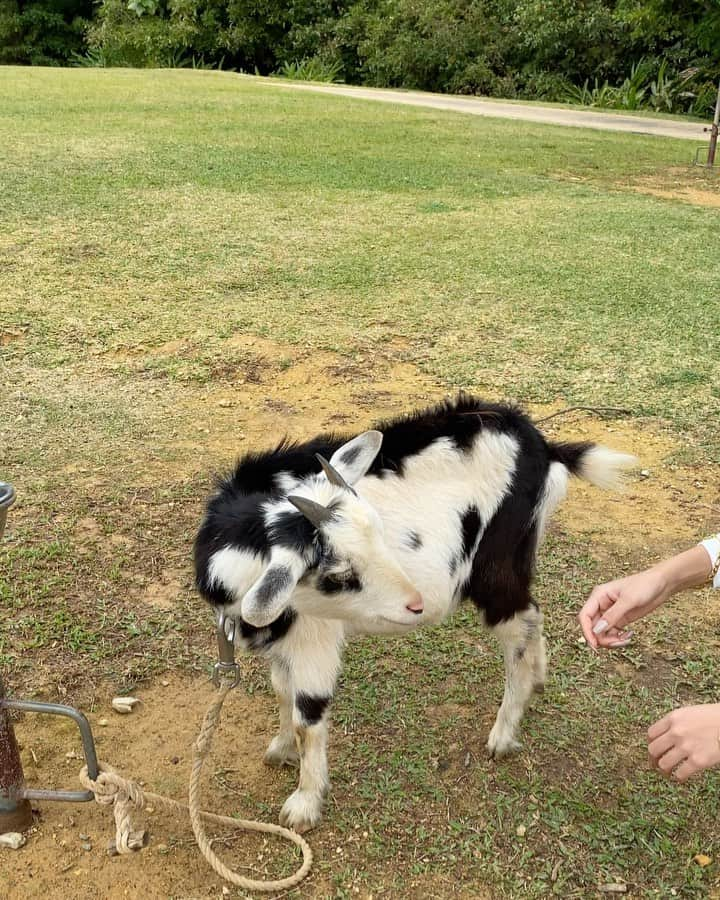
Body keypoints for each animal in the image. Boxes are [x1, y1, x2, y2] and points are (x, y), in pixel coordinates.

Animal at [193, 398, 636, 832]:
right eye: (340, 574)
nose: (416, 604)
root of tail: (540, 443)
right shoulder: (284, 639)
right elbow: (281, 690)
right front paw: (282, 748)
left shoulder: (314, 639)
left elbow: (308, 715)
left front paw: (304, 804)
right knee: (534, 615)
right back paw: (538, 681)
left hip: (496, 567)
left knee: (521, 626)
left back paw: (504, 732)